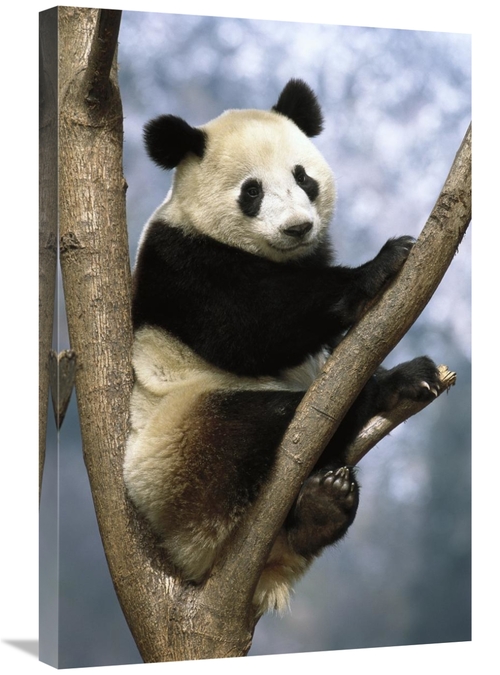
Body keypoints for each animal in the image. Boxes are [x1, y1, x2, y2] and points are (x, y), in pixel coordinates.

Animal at [124, 79, 441, 615]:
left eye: (303, 177)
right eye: (251, 191)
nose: (297, 227)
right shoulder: (183, 263)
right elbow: (250, 328)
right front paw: (382, 263)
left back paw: (322, 507)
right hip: (182, 449)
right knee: (266, 420)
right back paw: (363, 407)